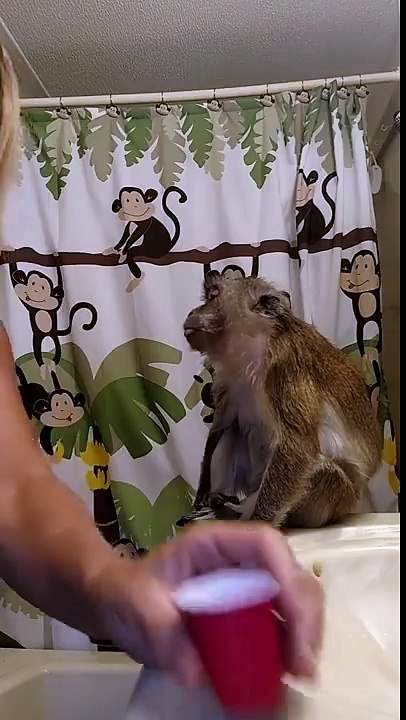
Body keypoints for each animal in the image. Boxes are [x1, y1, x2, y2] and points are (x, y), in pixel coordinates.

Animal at [179, 273, 381, 529]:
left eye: (213, 296)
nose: (191, 312)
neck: (254, 349)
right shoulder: (227, 378)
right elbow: (221, 426)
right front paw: (202, 495)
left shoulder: (286, 368)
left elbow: (297, 446)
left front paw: (258, 525)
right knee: (233, 430)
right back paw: (221, 504)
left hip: (333, 504)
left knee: (326, 473)